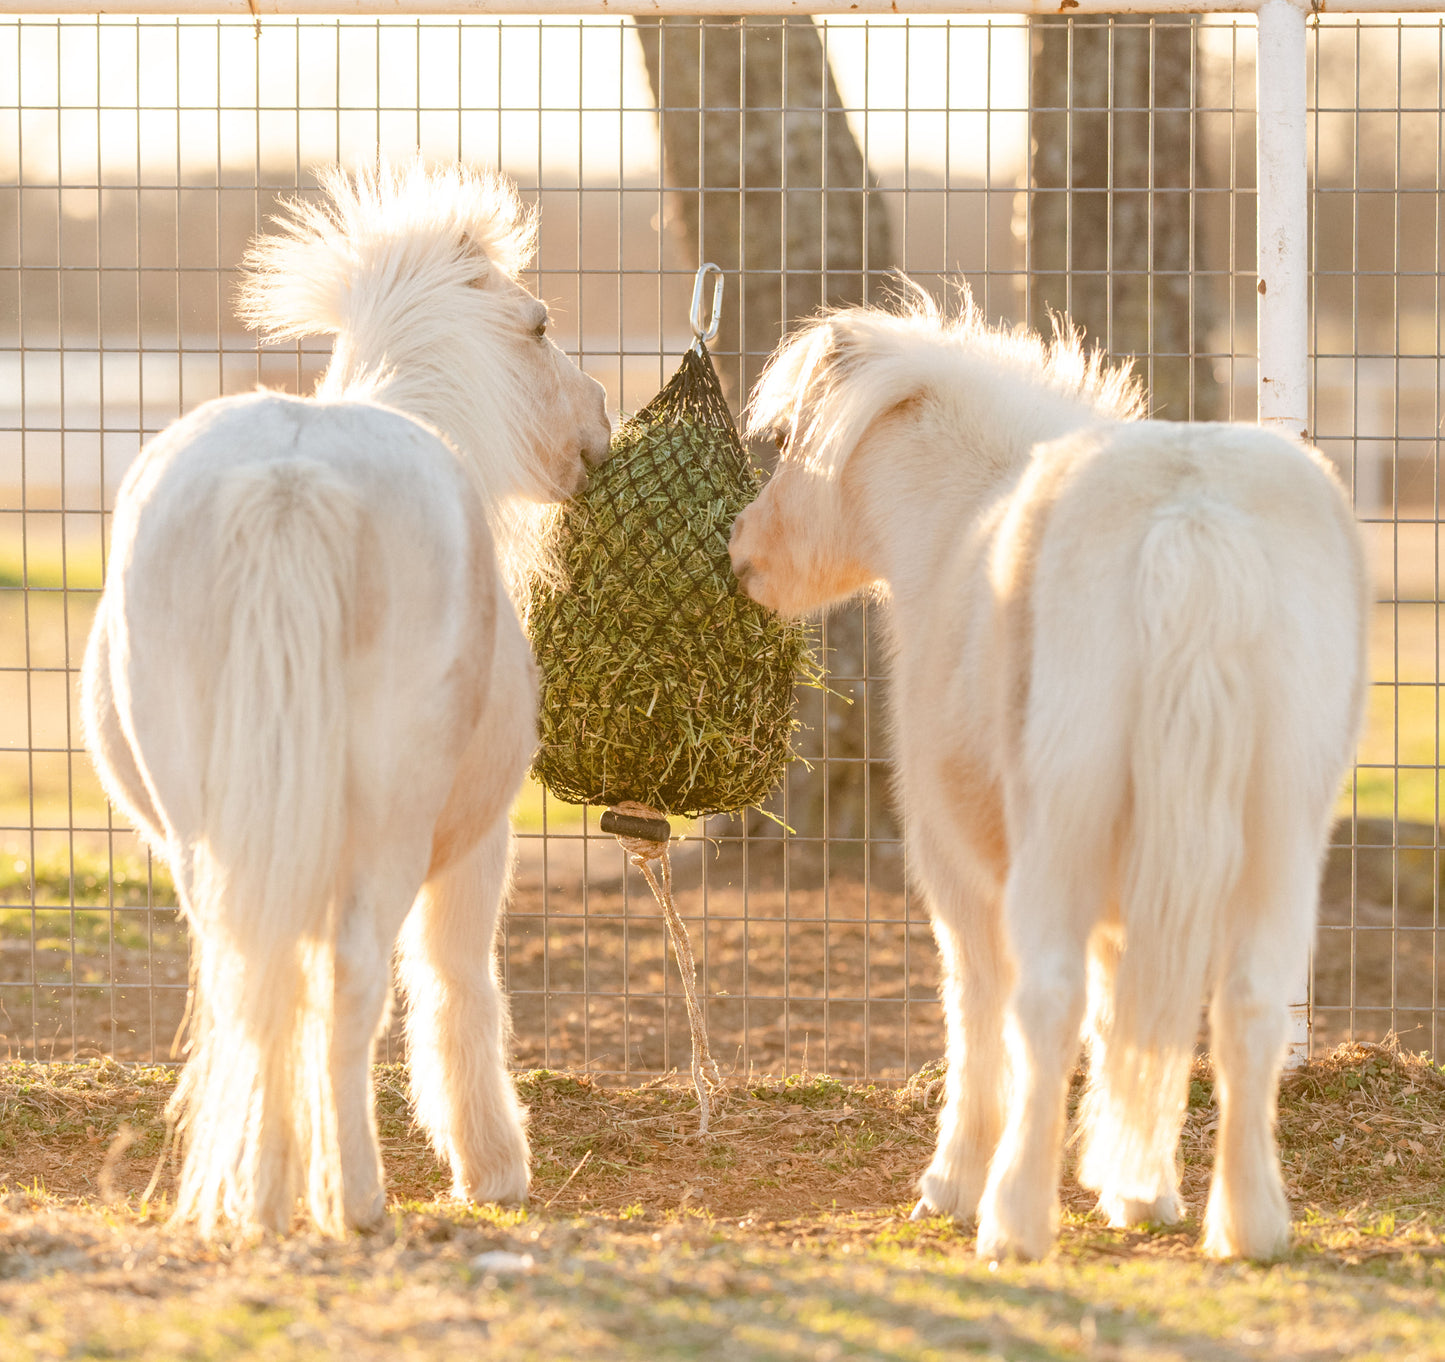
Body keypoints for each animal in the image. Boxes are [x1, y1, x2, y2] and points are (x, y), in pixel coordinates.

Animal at [80, 157, 609, 1236]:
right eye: (538, 325)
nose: (601, 422)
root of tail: (292, 479)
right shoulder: (478, 847)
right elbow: (456, 985)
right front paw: (492, 1165)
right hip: (391, 831)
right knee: (357, 976)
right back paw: (355, 1198)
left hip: (205, 832)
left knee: (253, 975)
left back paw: (264, 1193)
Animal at [734, 281, 1364, 1259]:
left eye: (790, 442)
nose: (742, 553)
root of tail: (1189, 524)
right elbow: (1128, 1014)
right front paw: (1137, 1190)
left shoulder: (957, 876)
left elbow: (980, 1013)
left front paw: (952, 1184)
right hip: (1278, 843)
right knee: (1249, 1005)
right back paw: (1247, 1227)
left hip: (1056, 837)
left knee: (1044, 1005)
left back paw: (1011, 1220)